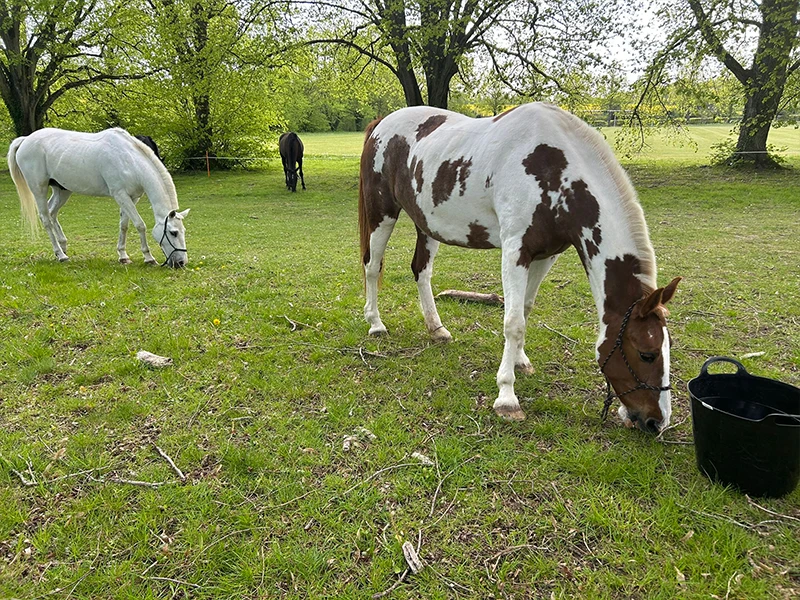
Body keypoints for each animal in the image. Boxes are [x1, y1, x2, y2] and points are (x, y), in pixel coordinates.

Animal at [7, 127, 189, 268]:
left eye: (183, 231)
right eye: (173, 233)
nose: (181, 263)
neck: (129, 160)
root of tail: (25, 140)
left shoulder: (131, 198)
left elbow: (124, 225)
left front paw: (123, 256)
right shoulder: (120, 195)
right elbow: (140, 225)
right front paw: (148, 258)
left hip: (62, 191)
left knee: (52, 213)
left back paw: (63, 246)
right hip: (39, 189)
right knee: (45, 218)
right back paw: (60, 254)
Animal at [358, 103, 682, 434]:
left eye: (667, 347)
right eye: (646, 353)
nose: (657, 422)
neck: (553, 170)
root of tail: (381, 123)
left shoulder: (545, 256)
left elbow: (525, 310)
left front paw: (520, 361)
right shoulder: (515, 251)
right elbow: (513, 322)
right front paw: (506, 397)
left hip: (427, 225)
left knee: (421, 271)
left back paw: (437, 329)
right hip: (382, 213)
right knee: (372, 266)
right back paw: (376, 323)